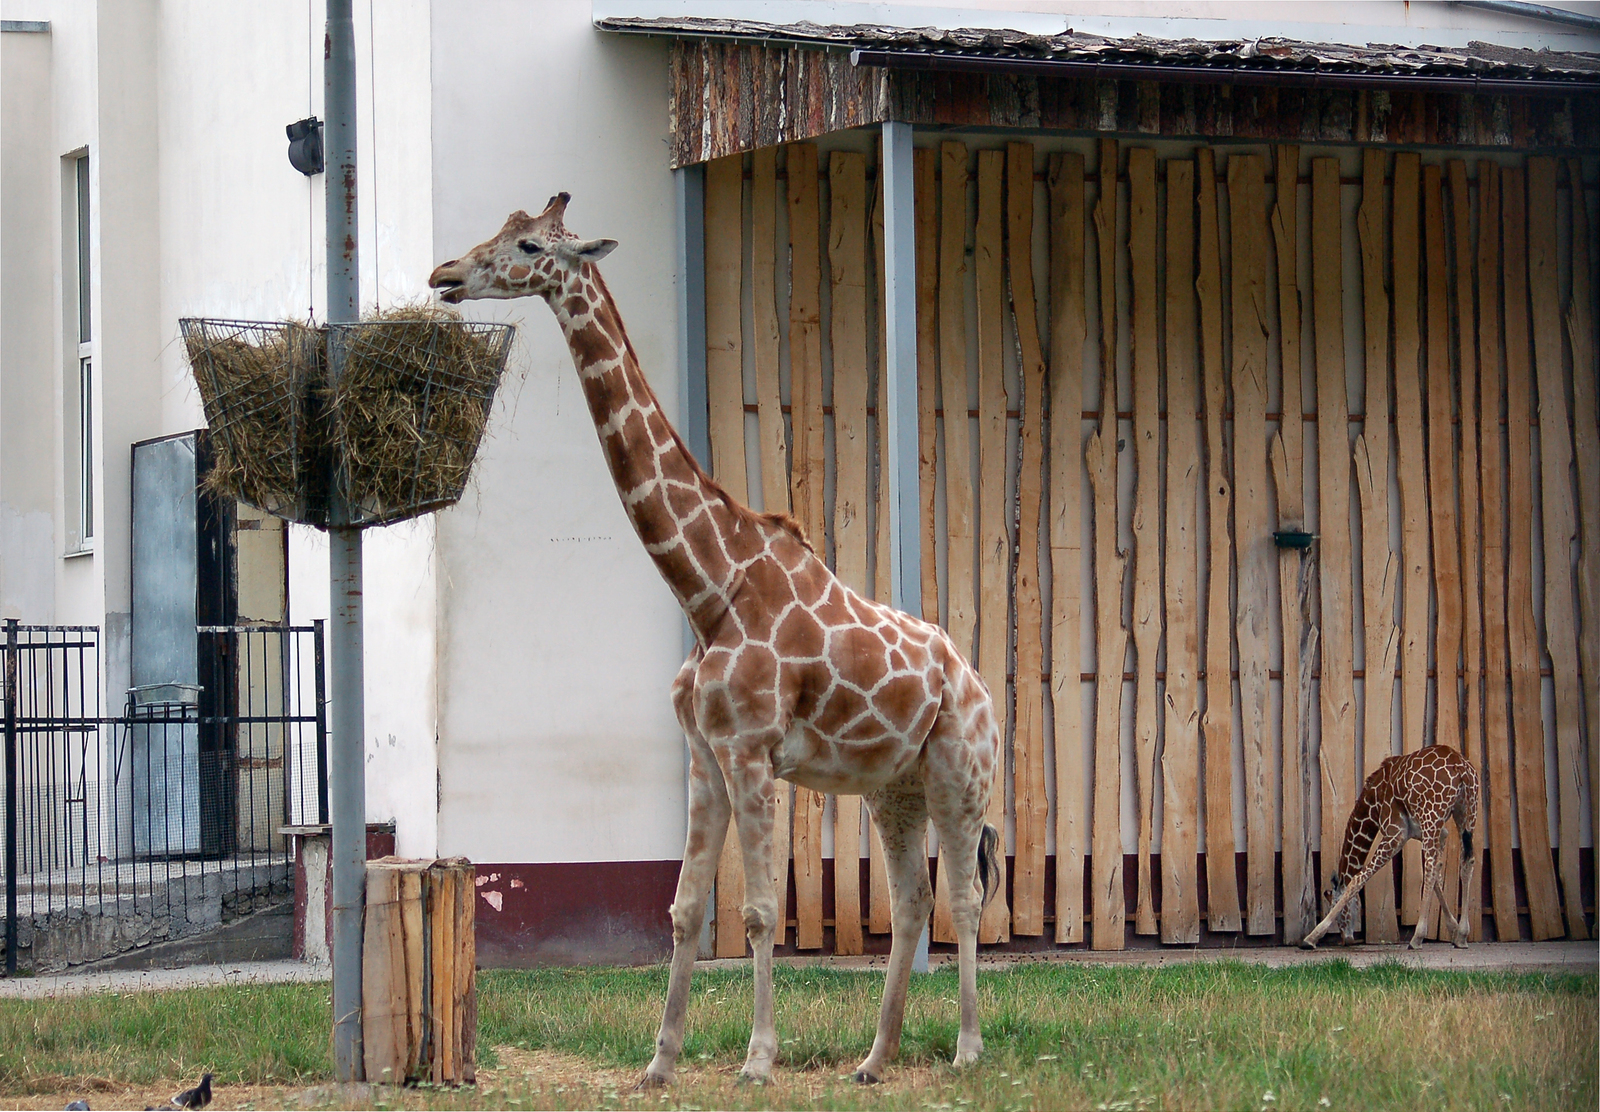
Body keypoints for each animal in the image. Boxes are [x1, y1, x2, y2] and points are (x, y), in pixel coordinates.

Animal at [428, 196, 998, 1081]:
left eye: (526, 245)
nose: (444, 276)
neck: (708, 590)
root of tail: (975, 682)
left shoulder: (751, 752)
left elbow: (759, 909)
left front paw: (758, 1059)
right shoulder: (703, 753)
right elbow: (685, 905)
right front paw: (658, 1064)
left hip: (958, 770)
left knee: (965, 896)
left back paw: (967, 1048)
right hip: (890, 785)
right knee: (912, 898)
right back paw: (875, 1058)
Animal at [1299, 748, 1472, 947]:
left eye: (1339, 909)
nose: (1347, 939)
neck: (1375, 800)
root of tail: (1460, 766)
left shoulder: (1396, 833)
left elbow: (1358, 878)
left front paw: (1311, 937)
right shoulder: (1436, 832)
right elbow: (1438, 873)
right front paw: (1454, 929)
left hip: (1432, 816)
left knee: (1429, 867)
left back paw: (1417, 937)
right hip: (1466, 813)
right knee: (1468, 862)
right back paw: (1462, 936)